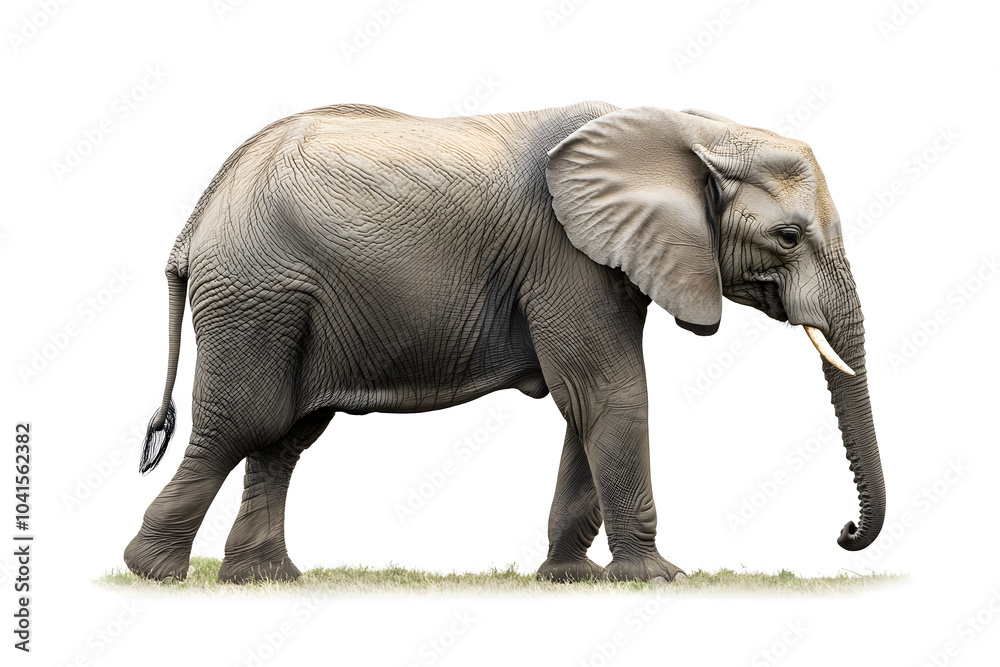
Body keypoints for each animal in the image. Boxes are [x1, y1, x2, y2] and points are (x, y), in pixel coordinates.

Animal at [124, 102, 886, 584]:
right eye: (788, 237)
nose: (844, 532)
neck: (694, 128)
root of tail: (198, 216)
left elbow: (587, 404)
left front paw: (571, 578)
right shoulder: (566, 255)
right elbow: (609, 393)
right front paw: (658, 578)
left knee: (284, 435)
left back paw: (265, 579)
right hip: (255, 293)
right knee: (245, 422)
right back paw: (155, 572)